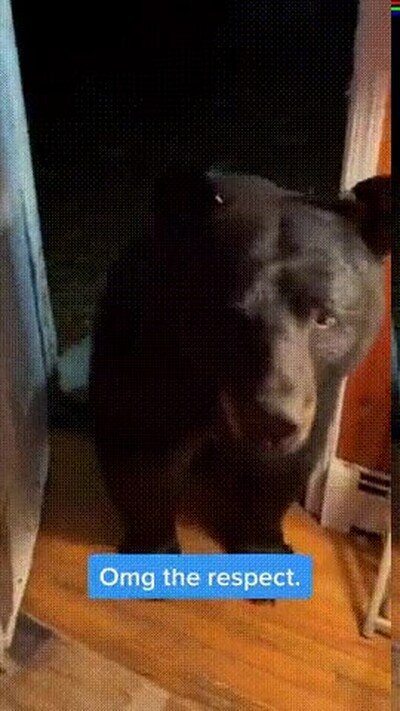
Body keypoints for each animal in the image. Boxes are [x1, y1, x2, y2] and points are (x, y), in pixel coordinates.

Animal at [89, 170, 390, 557]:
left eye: (325, 318)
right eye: (227, 316)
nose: (271, 421)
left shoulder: (317, 397)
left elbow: (281, 473)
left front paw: (265, 544)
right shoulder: (150, 358)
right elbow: (142, 459)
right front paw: (155, 545)